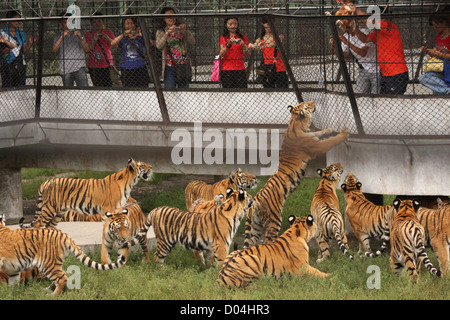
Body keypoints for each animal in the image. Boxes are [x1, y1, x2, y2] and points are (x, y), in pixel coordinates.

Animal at [22, 158, 153, 230]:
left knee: (49, 226)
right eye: (142, 165)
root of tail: (46, 181)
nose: (152, 167)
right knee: (37, 224)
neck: (130, 182)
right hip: (49, 209)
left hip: (59, 212)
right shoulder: (108, 209)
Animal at [123, 189, 251, 266]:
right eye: (249, 196)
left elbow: (210, 259)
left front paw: (208, 269)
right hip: (165, 241)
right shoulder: (222, 244)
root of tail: (155, 209)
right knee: (157, 256)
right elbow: (221, 261)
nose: (253, 199)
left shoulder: (212, 246)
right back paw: (162, 271)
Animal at [244, 100, 350, 248]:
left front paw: (329, 129)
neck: (295, 123)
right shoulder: (317, 146)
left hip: (255, 228)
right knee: (268, 241)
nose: (313, 102)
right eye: (307, 106)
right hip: (274, 221)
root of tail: (255, 201)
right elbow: (330, 141)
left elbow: (320, 132)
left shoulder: (314, 136)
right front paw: (343, 133)